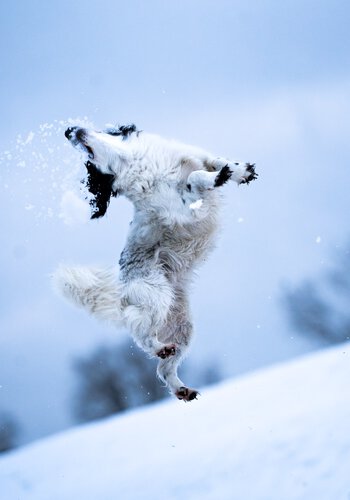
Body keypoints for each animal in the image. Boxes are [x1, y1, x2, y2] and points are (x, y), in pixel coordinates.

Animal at [54, 126, 258, 402]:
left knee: (163, 369)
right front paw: (218, 178)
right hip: (156, 298)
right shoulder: (186, 209)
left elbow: (213, 162)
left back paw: (182, 389)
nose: (68, 130)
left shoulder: (195, 156)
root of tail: (121, 293)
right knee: (142, 335)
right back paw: (159, 348)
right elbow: (194, 178)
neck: (133, 159)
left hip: (182, 326)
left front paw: (237, 171)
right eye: (90, 166)